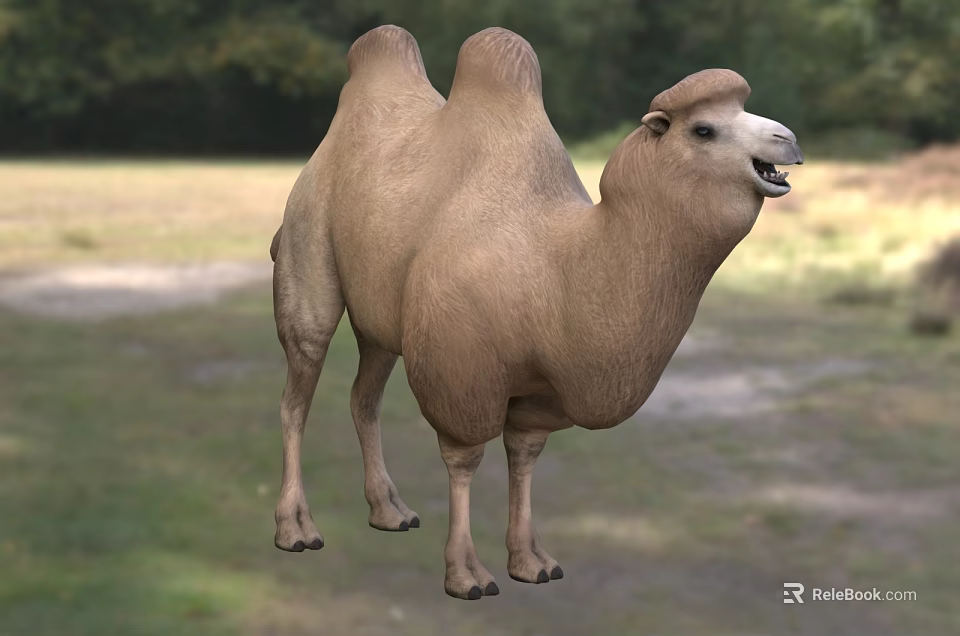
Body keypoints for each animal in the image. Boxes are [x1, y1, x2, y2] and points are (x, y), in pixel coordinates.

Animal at [269, 25, 803, 600]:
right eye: (704, 129)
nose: (788, 139)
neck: (559, 268)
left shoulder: (542, 394)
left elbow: (524, 456)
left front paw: (531, 562)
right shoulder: (461, 368)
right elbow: (465, 459)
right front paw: (466, 575)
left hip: (382, 321)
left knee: (363, 396)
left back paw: (389, 511)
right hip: (308, 247)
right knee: (297, 391)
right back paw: (296, 529)